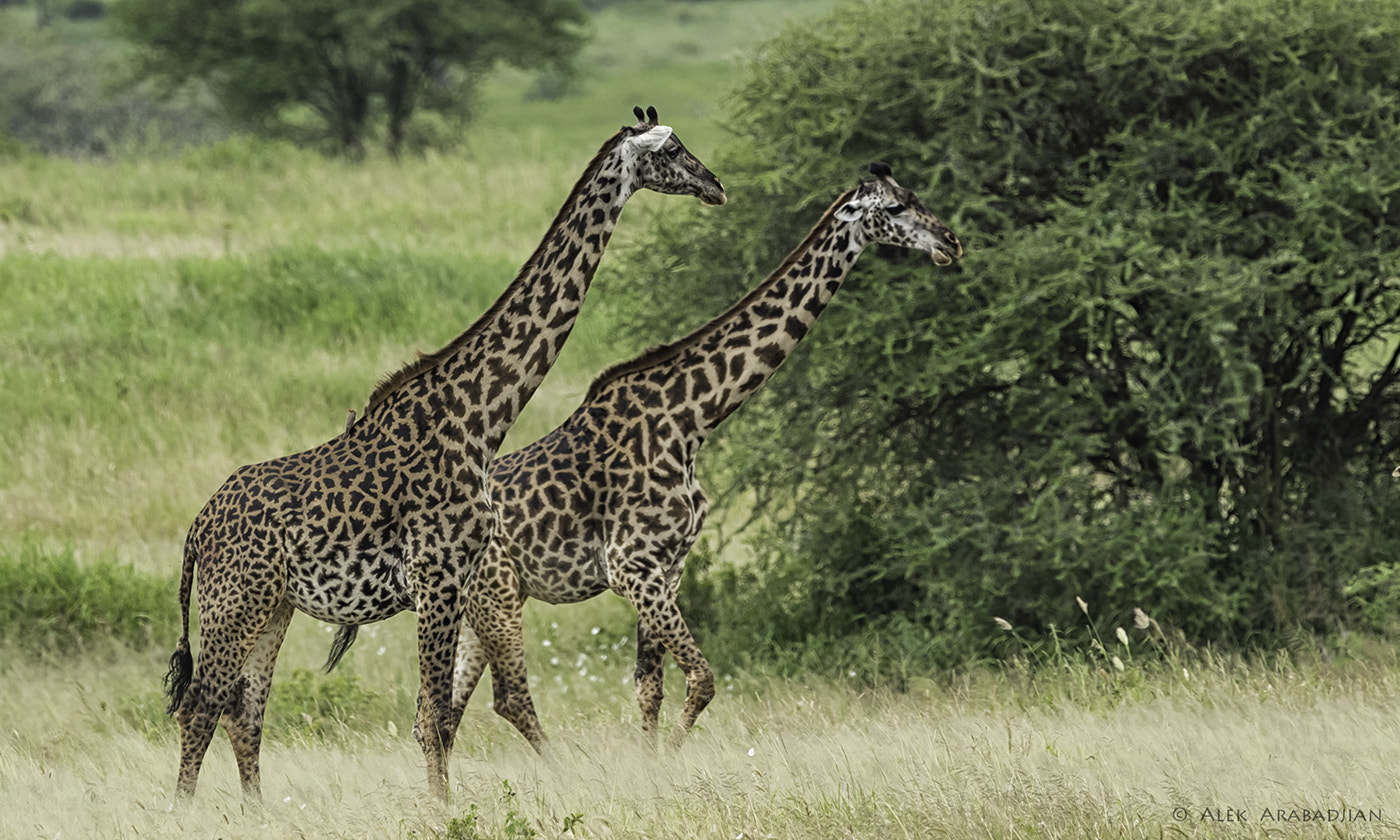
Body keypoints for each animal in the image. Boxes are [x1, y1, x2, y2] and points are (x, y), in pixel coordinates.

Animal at [163, 105, 728, 800]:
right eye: (671, 150)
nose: (716, 185)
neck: (481, 417)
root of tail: (196, 528)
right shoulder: (435, 575)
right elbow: (433, 714)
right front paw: (441, 810)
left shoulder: (457, 578)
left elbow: (435, 713)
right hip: (233, 604)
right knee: (200, 706)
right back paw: (188, 813)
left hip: (273, 608)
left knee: (242, 710)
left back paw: (255, 814)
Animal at [327, 158, 963, 750]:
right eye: (898, 207)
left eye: (917, 196)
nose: (951, 243)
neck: (693, 418)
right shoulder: (633, 566)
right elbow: (701, 680)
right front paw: (668, 762)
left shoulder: (669, 567)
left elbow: (650, 687)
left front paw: (654, 763)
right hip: (495, 595)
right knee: (496, 701)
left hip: (471, 607)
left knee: (437, 716)